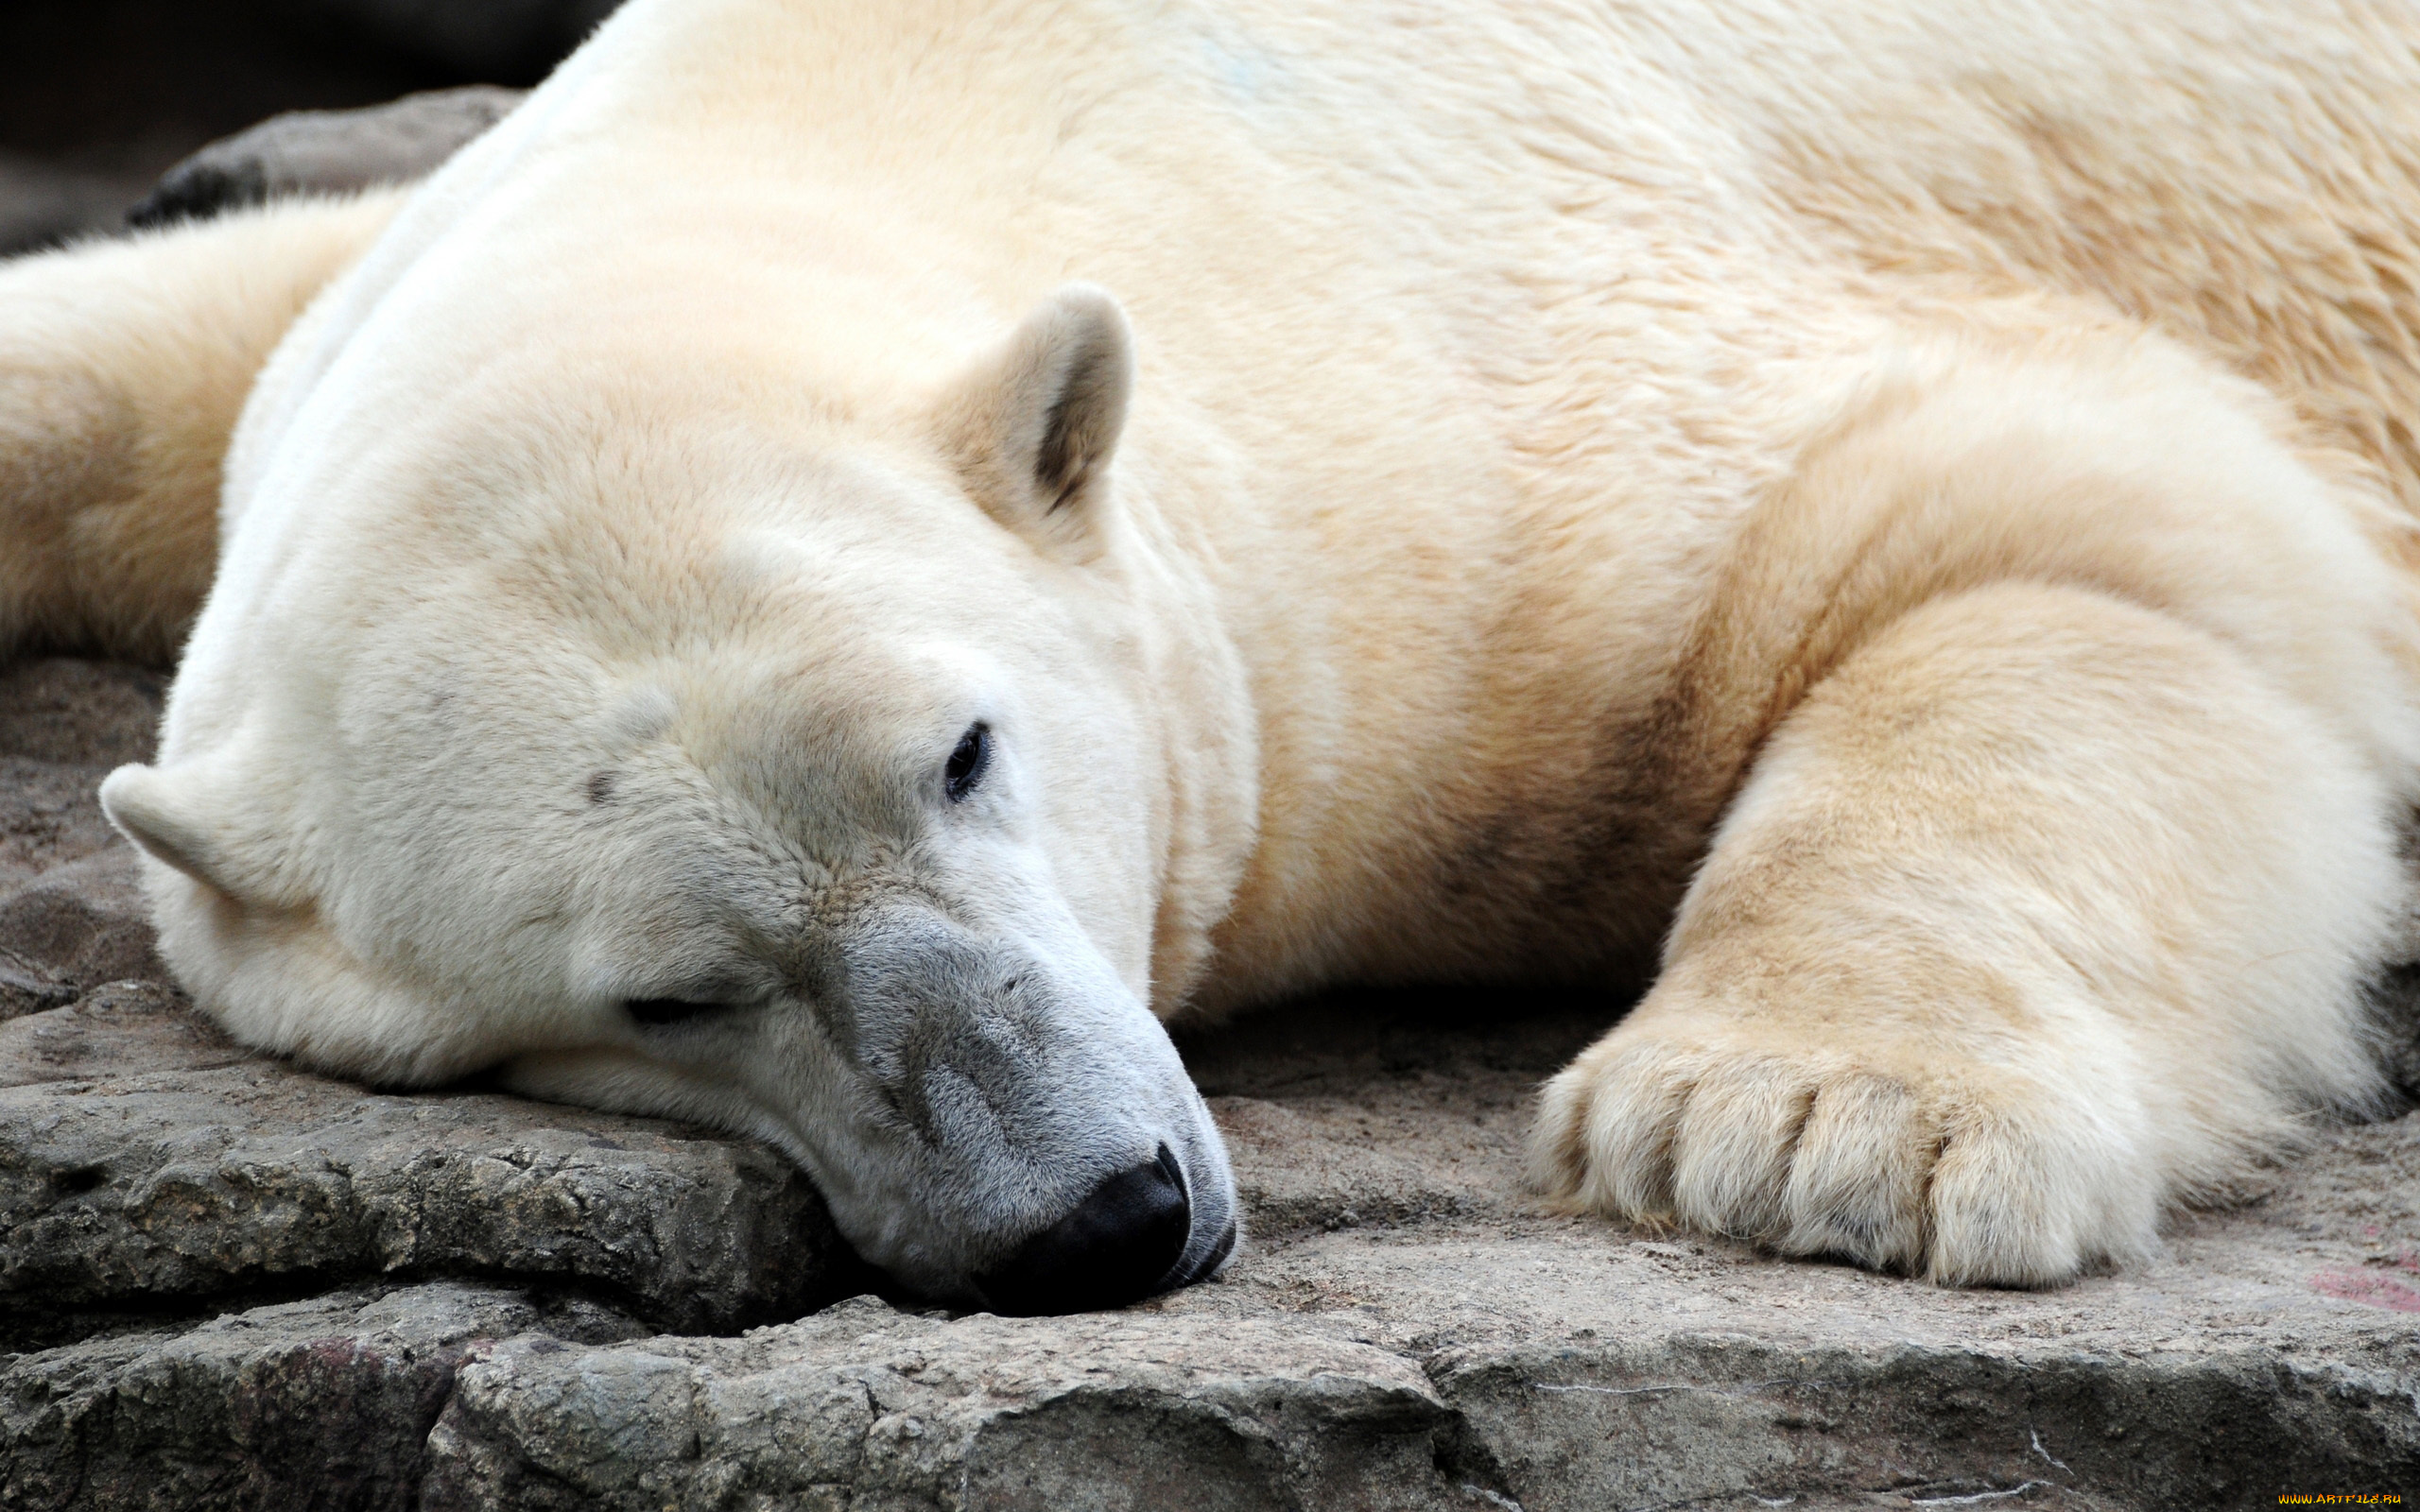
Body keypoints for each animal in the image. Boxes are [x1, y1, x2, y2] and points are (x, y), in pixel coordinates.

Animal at [5, 0, 2420, 1306]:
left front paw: (1807, 1123)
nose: (1097, 1208)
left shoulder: (1482, 453)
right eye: (662, 997)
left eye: (964, 752)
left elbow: (2070, 529)